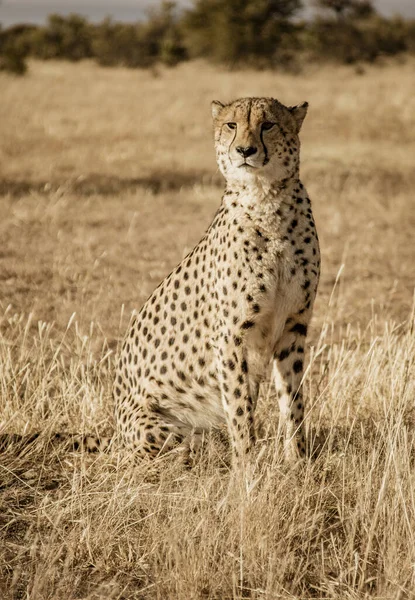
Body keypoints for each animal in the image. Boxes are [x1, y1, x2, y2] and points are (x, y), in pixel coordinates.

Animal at [114, 96, 322, 466]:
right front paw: (246, 469)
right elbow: (239, 409)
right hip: (156, 427)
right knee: (182, 449)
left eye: (268, 124)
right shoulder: (231, 336)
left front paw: (298, 462)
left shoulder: (293, 326)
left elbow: (293, 400)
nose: (245, 150)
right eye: (231, 125)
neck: (267, 200)